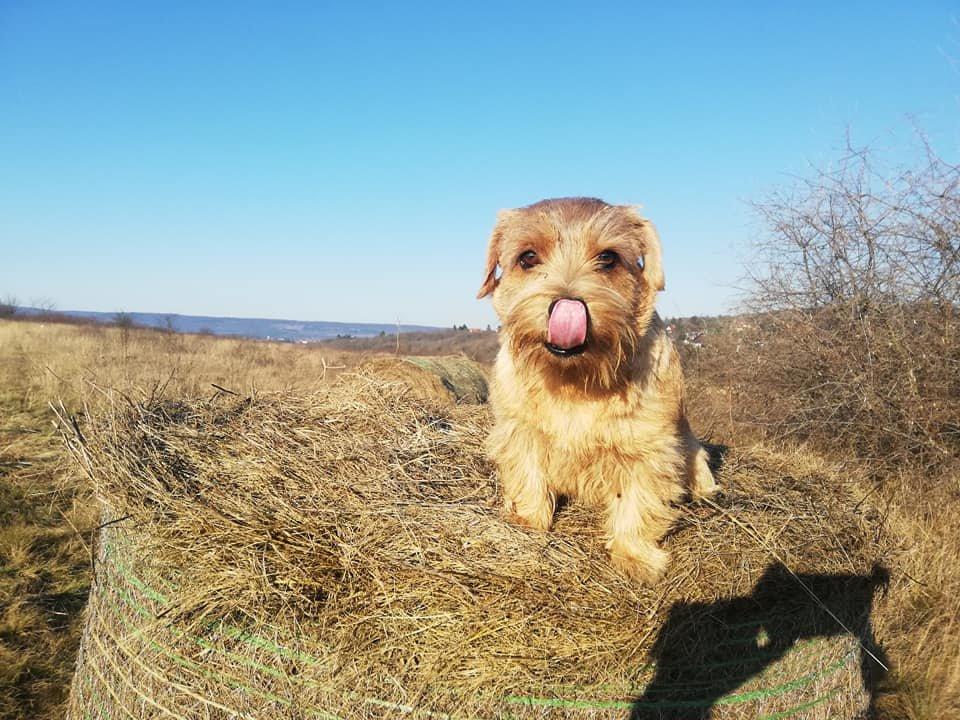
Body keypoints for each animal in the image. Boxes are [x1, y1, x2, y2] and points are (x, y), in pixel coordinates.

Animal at [476, 197, 716, 584]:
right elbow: (527, 474)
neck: (574, 380)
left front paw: (634, 556)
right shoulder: (519, 432)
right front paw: (526, 519)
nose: (568, 305)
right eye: (527, 257)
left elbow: (638, 501)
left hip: (692, 449)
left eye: (608, 258)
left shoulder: (650, 449)